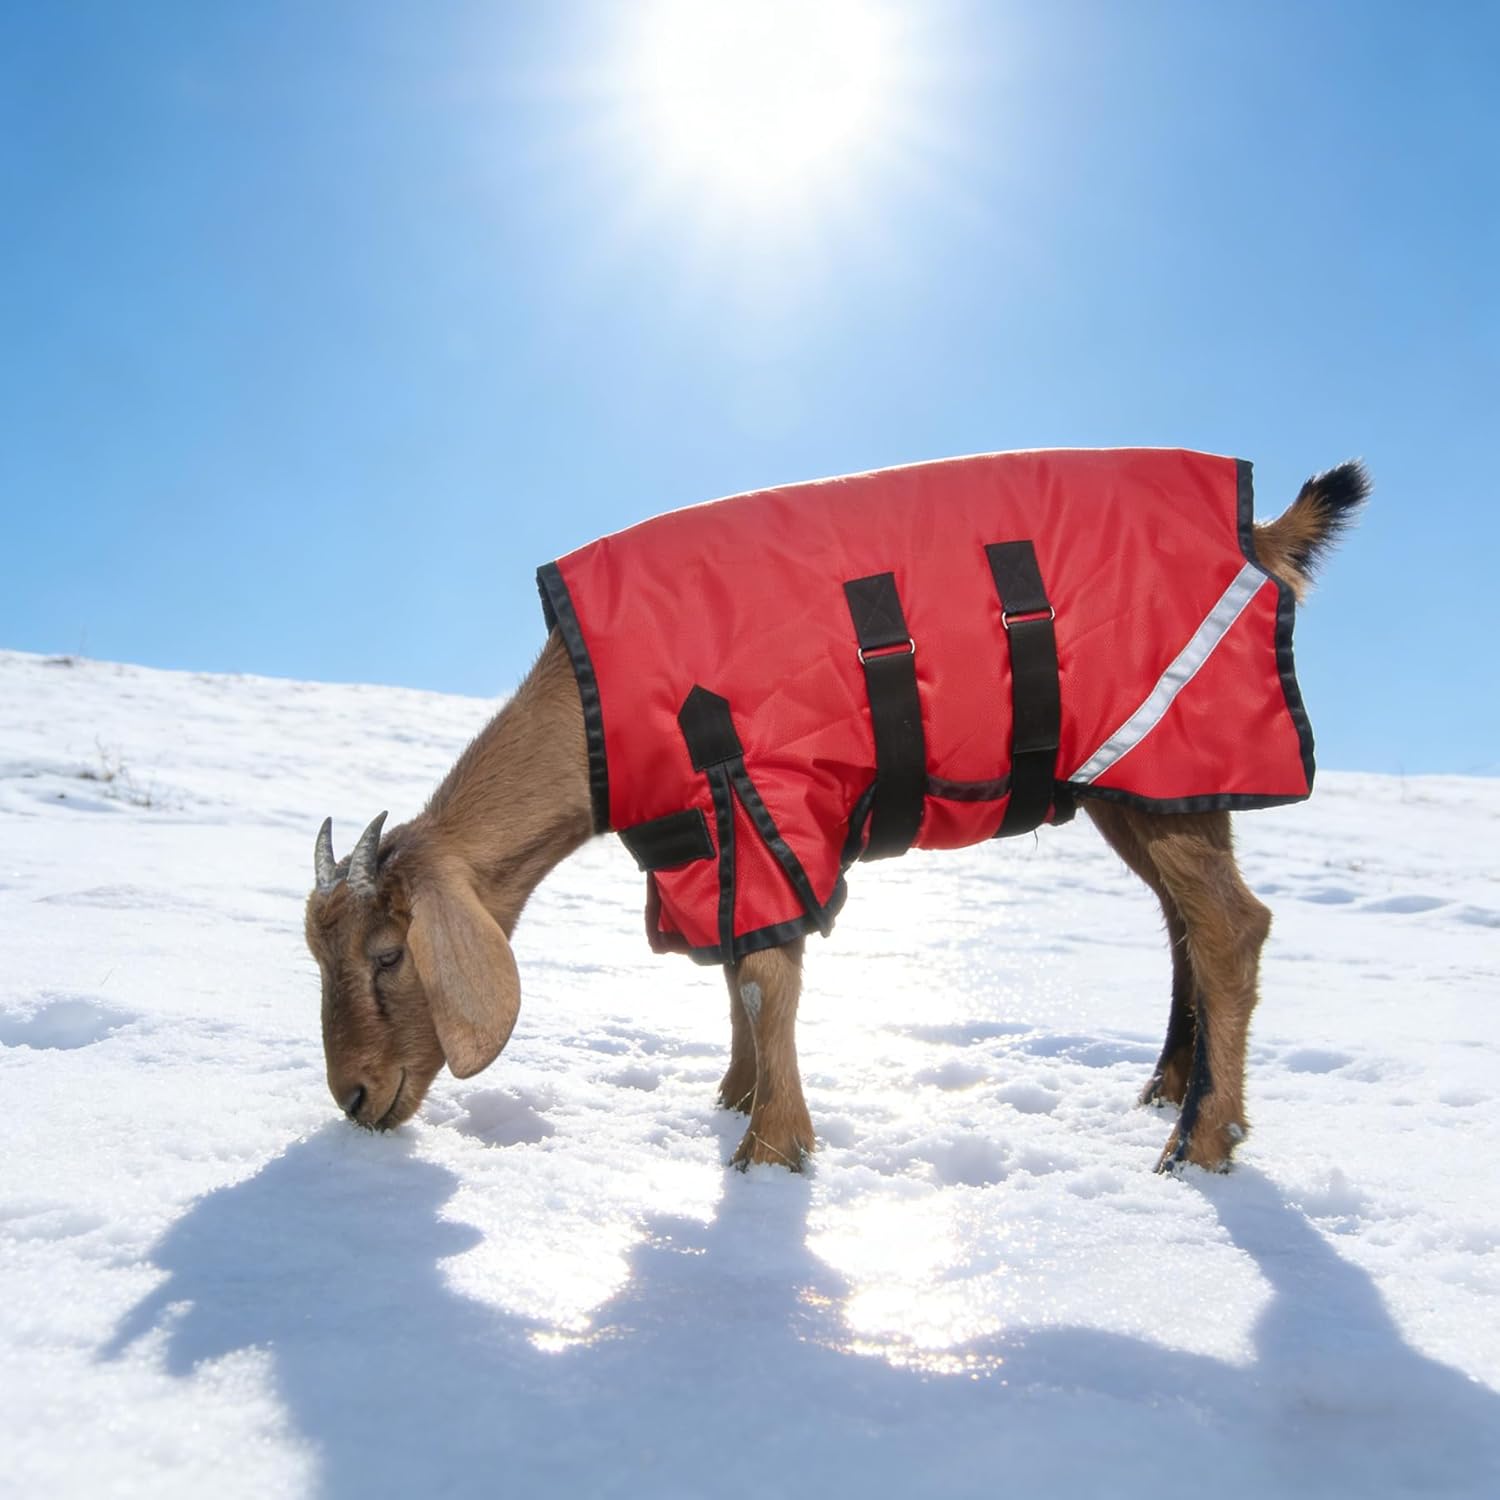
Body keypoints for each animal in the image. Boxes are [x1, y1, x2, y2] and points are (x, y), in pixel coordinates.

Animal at [305, 458, 1369, 1172]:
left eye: (389, 956)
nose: (353, 1098)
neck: (597, 708)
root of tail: (1261, 537)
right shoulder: (713, 839)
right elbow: (732, 963)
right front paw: (735, 1102)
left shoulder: (776, 800)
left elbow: (765, 976)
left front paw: (772, 1151)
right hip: (1145, 782)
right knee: (1187, 921)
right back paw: (1170, 1094)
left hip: (1168, 755)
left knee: (1230, 926)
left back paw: (1201, 1144)